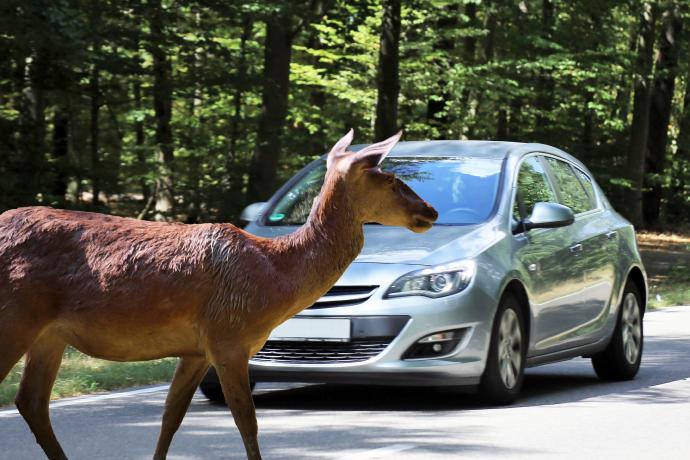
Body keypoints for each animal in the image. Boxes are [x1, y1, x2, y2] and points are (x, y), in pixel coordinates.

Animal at [0, 130, 436, 460]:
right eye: (390, 179)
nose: (430, 211)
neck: (276, 277)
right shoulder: (230, 335)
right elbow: (247, 421)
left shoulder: (197, 347)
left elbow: (171, 416)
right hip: (15, 315)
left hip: (49, 334)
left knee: (31, 402)